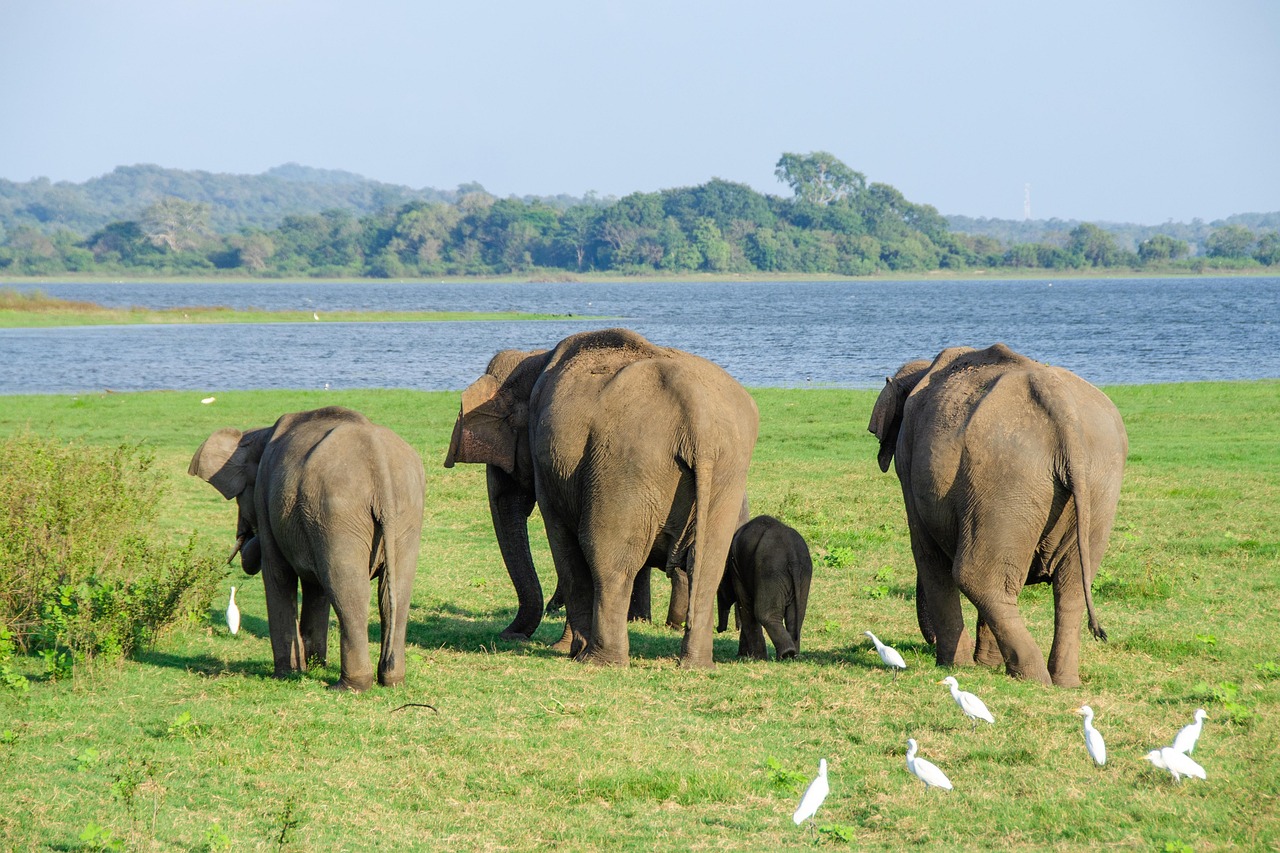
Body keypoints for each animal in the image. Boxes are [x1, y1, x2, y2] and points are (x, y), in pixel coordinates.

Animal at [190, 406, 426, 692]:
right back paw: (392, 680)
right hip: (404, 512)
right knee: (395, 592)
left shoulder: (267, 499)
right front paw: (314, 667)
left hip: (338, 511)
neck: (259, 434)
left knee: (348, 590)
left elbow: (278, 575)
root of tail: (378, 459)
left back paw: (348, 686)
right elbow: (317, 588)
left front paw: (287, 673)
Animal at [444, 328, 759, 668]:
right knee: (707, 564)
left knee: (608, 559)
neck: (533, 358)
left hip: (625, 466)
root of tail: (698, 418)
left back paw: (598, 661)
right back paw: (695, 664)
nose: (510, 636)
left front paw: (565, 649)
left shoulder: (549, 466)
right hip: (726, 472)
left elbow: (563, 543)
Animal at [716, 515, 813, 660]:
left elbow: (745, 605)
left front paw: (753, 658)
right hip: (804, 572)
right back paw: (793, 655)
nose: (718, 629)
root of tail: (793, 559)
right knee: (796, 616)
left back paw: (786, 654)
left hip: (770, 572)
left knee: (764, 614)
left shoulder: (737, 570)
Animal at [867, 343, 1127, 687]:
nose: (928, 641)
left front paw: (955, 665)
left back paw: (1032, 679)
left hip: (1006, 478)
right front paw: (984, 664)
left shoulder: (908, 463)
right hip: (1095, 484)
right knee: (1067, 587)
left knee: (976, 576)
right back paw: (1063, 681)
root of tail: (1062, 407)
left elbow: (927, 554)